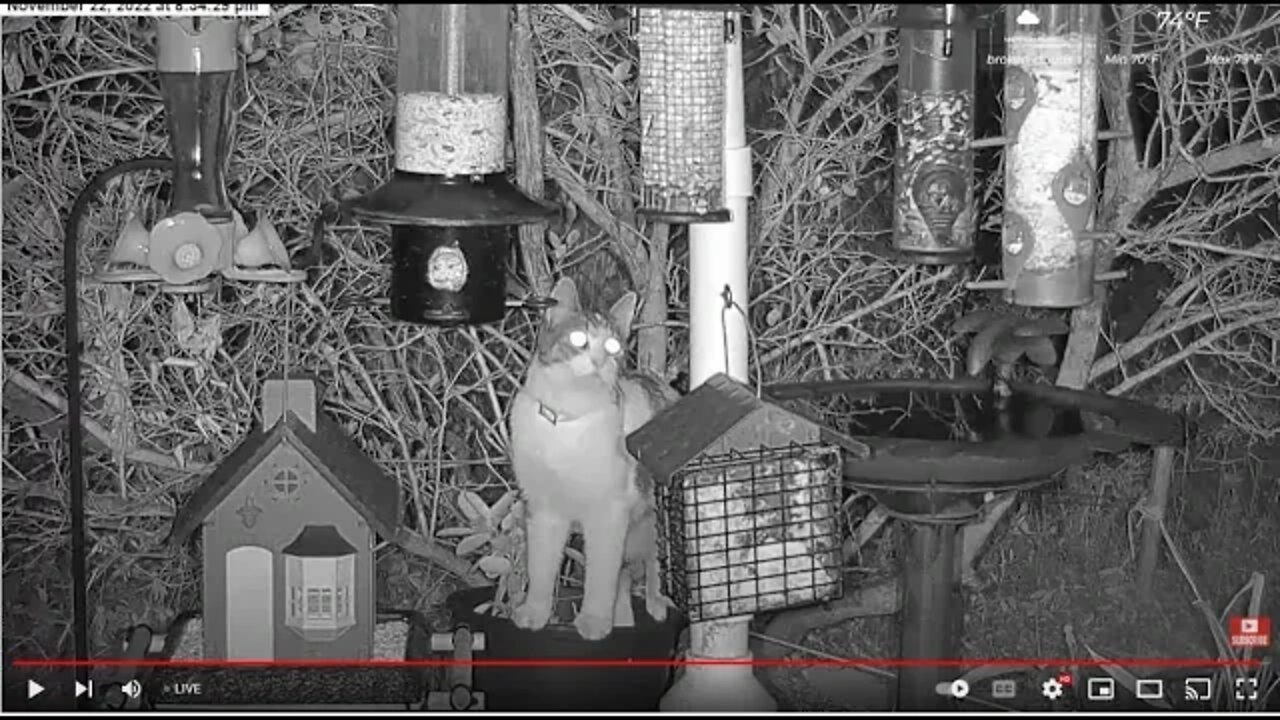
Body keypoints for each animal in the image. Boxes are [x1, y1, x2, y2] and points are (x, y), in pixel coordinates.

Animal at [504, 275, 675, 638]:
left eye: (613, 346)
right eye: (578, 339)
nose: (599, 360)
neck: (566, 422)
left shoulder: (607, 514)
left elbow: (600, 576)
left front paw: (594, 622)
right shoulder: (544, 509)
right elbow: (541, 567)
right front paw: (534, 613)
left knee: (654, 564)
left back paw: (656, 603)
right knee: (624, 579)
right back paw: (623, 619)